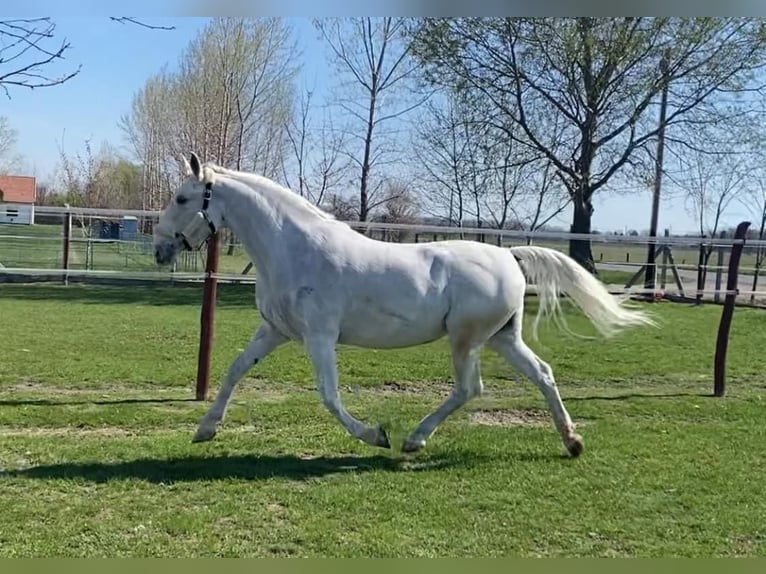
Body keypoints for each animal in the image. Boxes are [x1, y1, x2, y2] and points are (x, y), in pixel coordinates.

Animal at [156, 153, 660, 460]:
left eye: (181, 198)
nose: (160, 250)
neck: (295, 248)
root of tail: (509, 257)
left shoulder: (320, 337)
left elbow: (329, 395)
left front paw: (375, 435)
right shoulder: (274, 331)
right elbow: (235, 370)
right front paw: (205, 429)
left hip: (466, 340)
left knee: (470, 388)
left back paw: (414, 440)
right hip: (502, 337)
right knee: (542, 374)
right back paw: (571, 442)